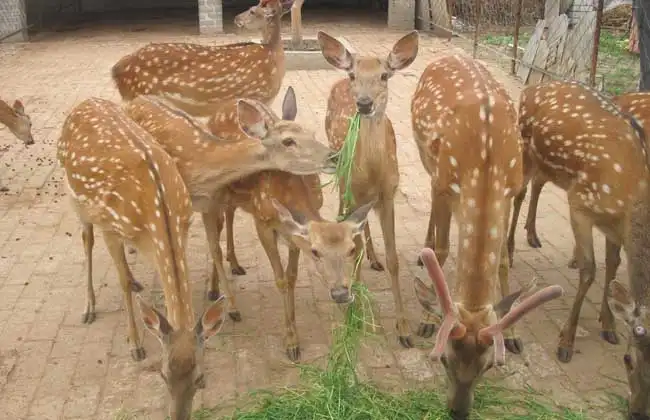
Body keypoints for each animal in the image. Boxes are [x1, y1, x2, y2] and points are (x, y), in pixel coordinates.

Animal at [56, 98, 228, 420]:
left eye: (200, 378)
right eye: (161, 375)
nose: (178, 416)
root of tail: (85, 102)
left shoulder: (184, 224)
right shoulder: (110, 228)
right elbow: (121, 281)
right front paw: (135, 345)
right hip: (75, 199)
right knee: (86, 240)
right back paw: (89, 307)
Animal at [204, 86, 374, 360]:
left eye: (351, 250)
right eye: (315, 252)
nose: (340, 293)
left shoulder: (292, 231)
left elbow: (292, 277)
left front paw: (294, 337)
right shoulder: (263, 222)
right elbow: (281, 279)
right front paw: (291, 344)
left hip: (236, 198)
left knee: (229, 217)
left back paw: (234, 266)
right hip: (214, 196)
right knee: (214, 241)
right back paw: (226, 301)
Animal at [316, 29, 418, 348]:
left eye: (384, 75)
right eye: (354, 75)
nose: (363, 103)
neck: (373, 173)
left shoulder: (388, 195)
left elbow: (395, 259)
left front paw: (404, 328)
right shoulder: (354, 191)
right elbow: (354, 250)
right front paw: (356, 316)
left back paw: (375, 258)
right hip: (341, 174)